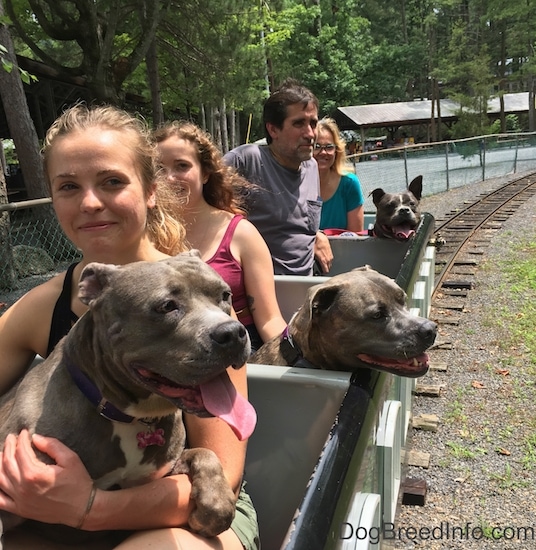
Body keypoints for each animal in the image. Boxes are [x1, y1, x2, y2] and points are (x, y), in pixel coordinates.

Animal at [0, 252, 256, 548]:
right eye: (166, 306)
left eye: (225, 295)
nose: (233, 333)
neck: (127, 416)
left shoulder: (155, 475)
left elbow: (204, 452)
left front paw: (216, 505)